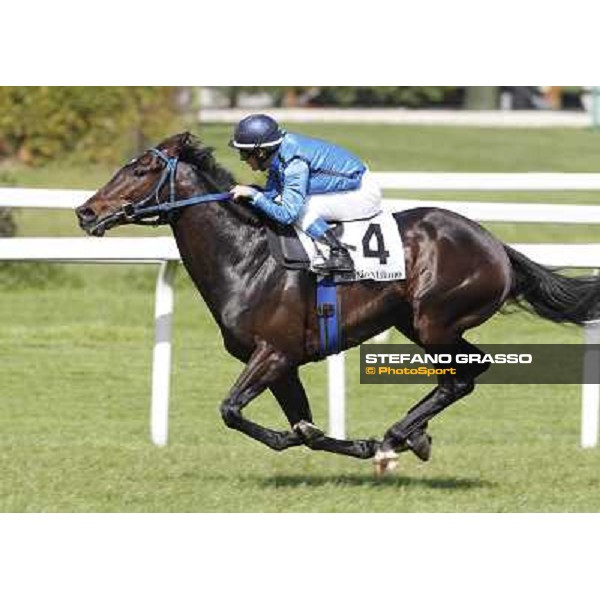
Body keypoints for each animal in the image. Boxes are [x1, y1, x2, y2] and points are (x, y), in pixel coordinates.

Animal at [75, 134, 600, 476]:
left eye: (140, 170)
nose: (85, 211)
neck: (247, 256)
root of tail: (495, 244)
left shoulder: (275, 352)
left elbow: (232, 410)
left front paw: (358, 444)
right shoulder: (281, 363)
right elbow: (300, 423)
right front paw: (340, 441)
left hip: (436, 321)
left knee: (466, 373)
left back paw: (397, 436)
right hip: (414, 324)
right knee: (461, 376)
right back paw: (408, 436)